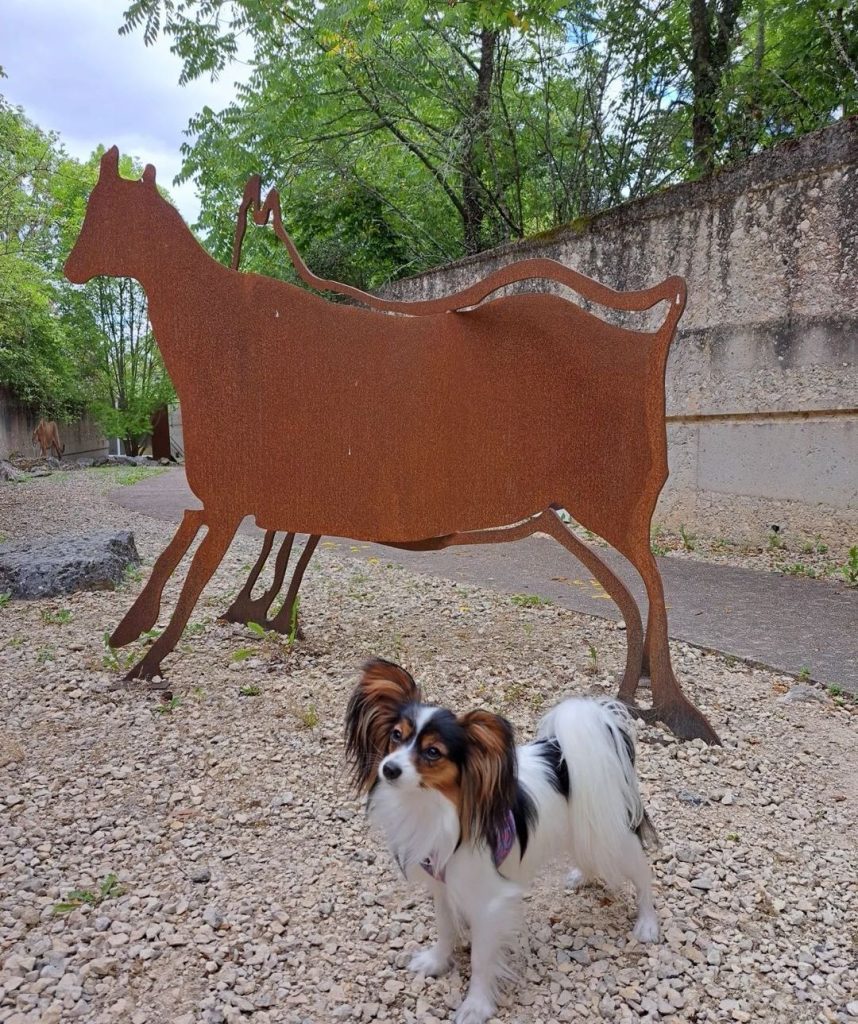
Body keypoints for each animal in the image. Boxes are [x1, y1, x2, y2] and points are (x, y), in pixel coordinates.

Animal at [346, 659, 663, 1019]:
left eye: (432, 752)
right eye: (396, 736)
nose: (389, 769)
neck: (435, 805)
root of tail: (563, 751)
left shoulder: (489, 902)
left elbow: (481, 960)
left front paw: (476, 1005)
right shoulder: (442, 884)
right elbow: (445, 929)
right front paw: (437, 962)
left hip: (617, 836)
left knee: (643, 876)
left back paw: (647, 923)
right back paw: (581, 877)